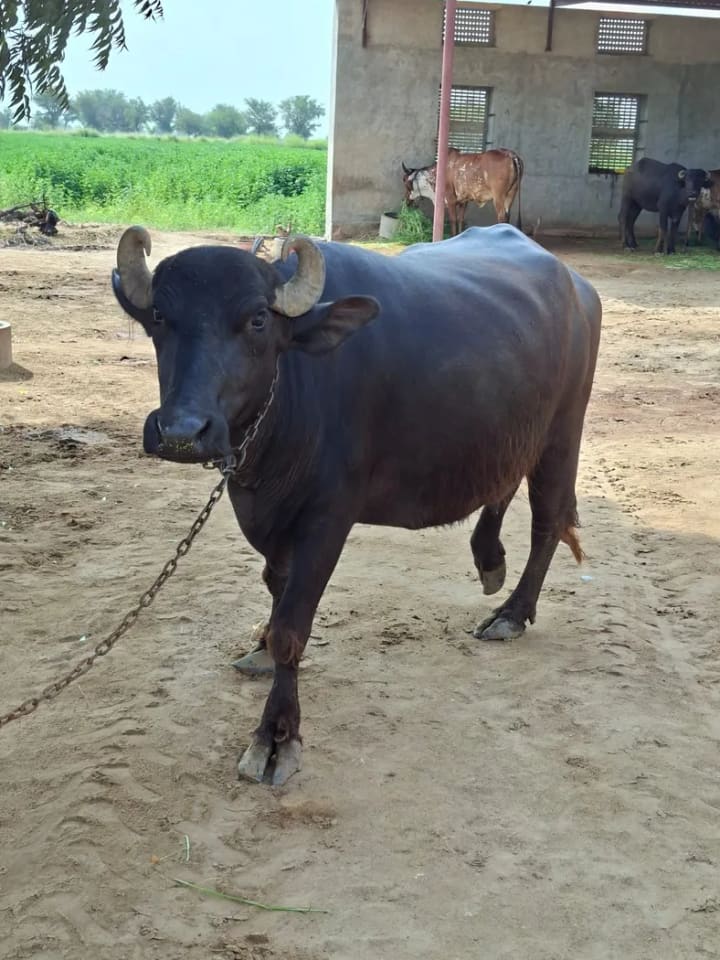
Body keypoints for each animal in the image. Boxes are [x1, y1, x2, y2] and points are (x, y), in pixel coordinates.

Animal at [112, 224, 601, 786]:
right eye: (159, 318)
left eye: (257, 319)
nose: (181, 433)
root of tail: (579, 288)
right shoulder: (267, 514)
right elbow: (275, 588)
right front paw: (261, 648)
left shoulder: (328, 518)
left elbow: (293, 627)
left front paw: (276, 737)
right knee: (504, 482)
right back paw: (489, 560)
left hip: (563, 433)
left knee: (549, 521)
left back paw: (512, 614)